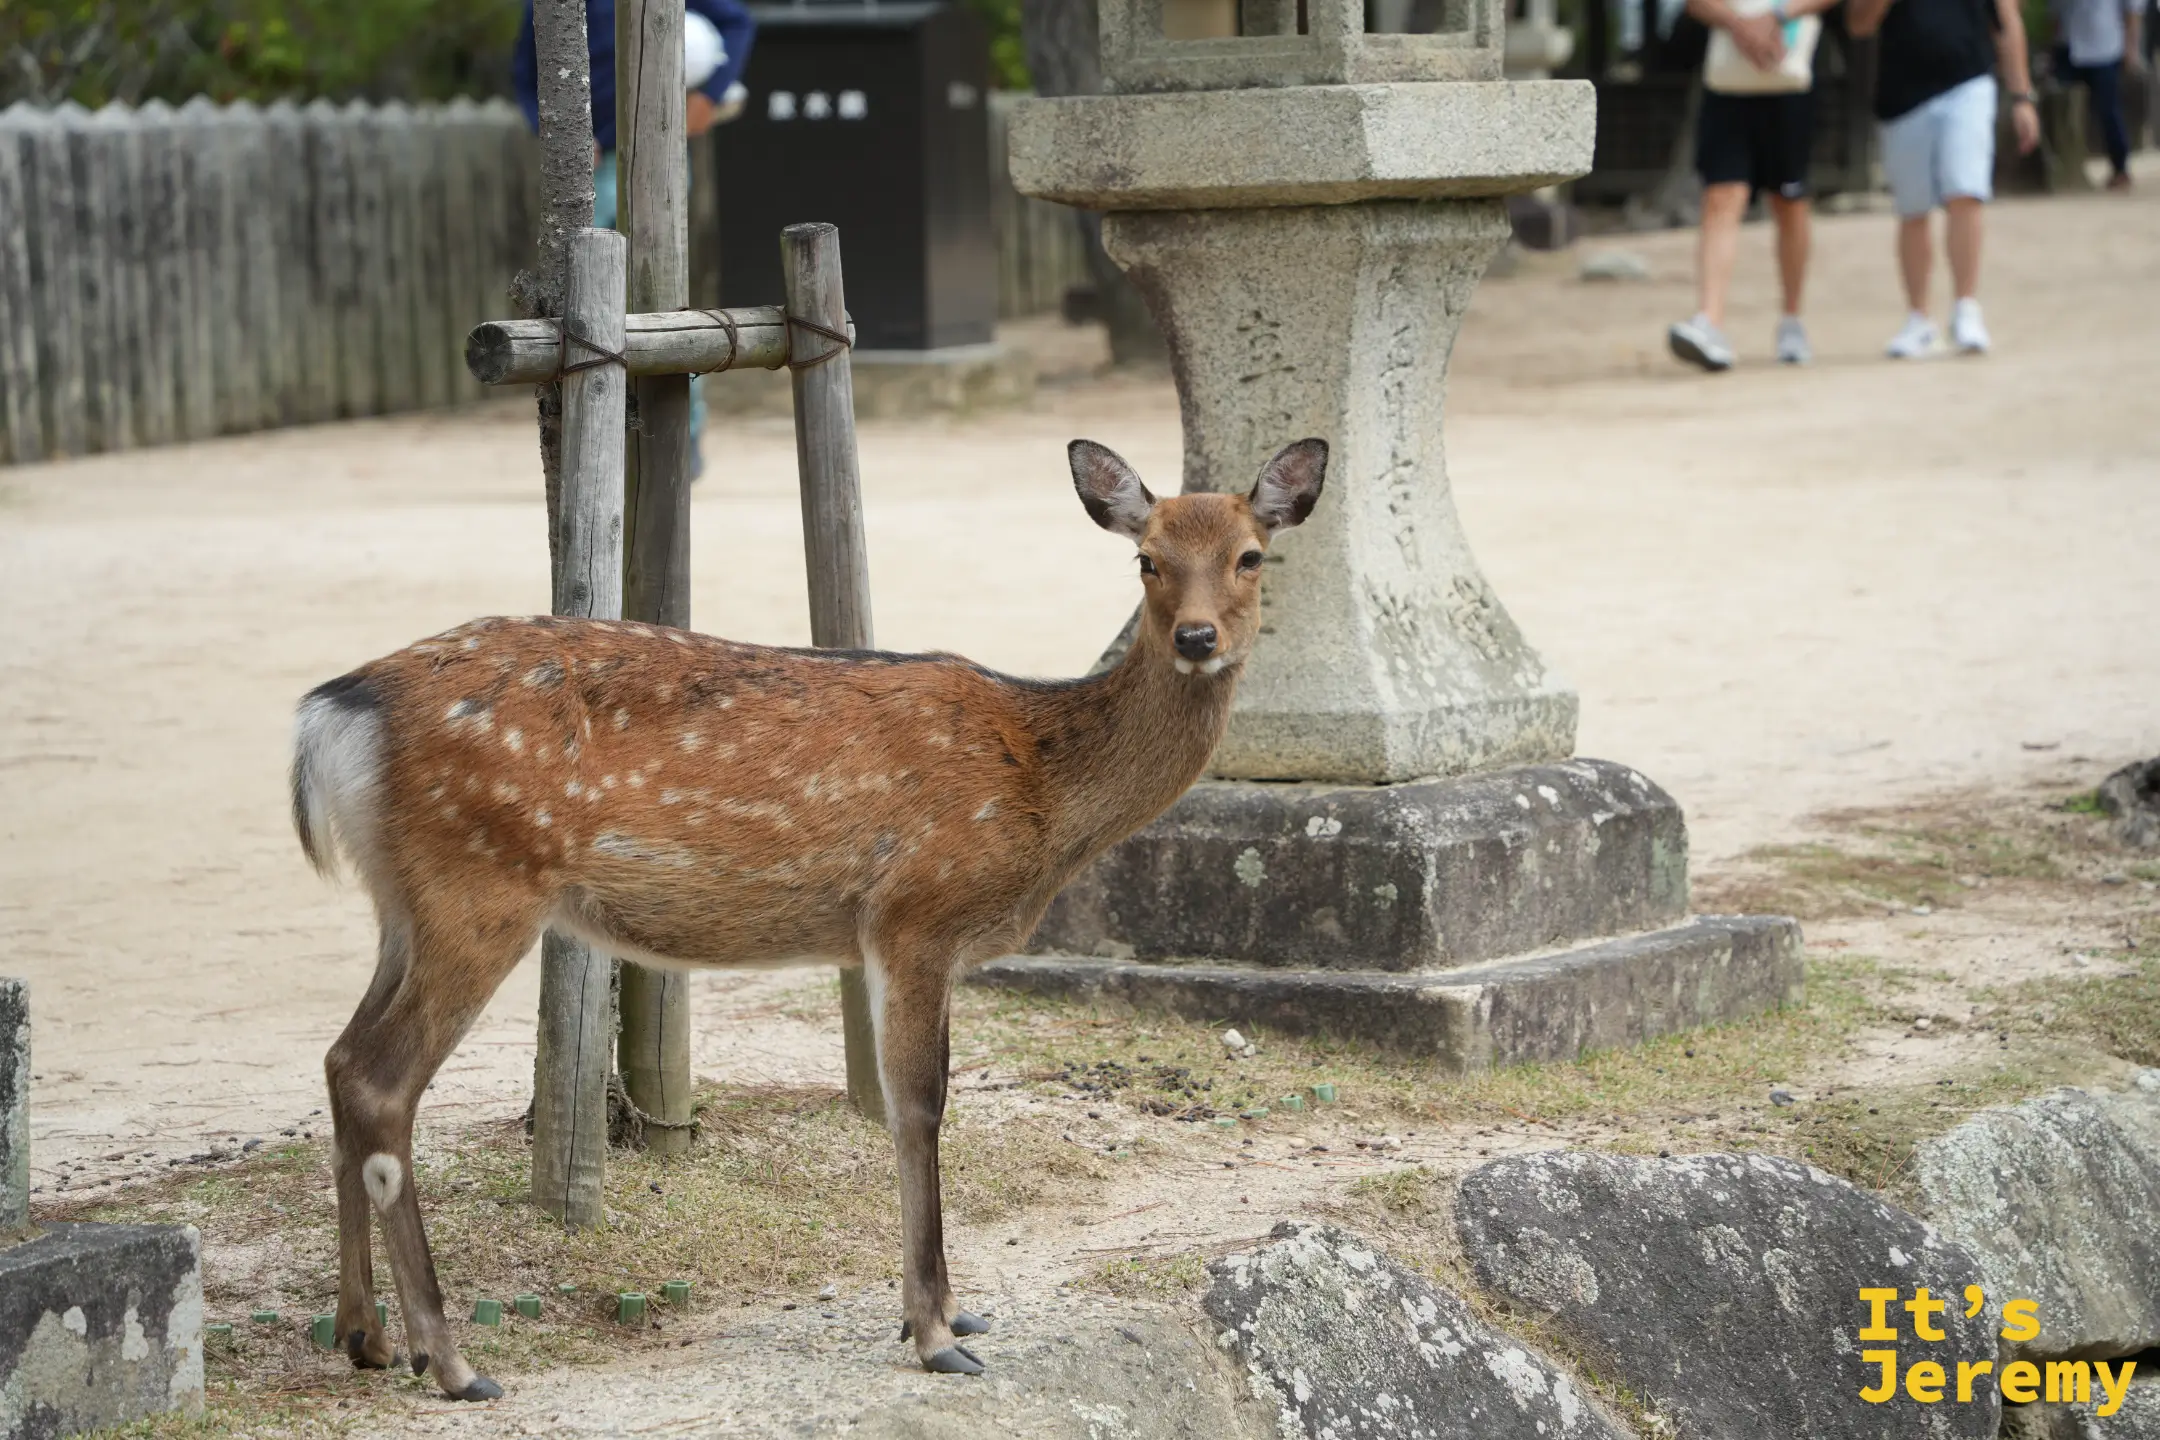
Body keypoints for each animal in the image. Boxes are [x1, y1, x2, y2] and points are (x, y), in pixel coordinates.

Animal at [289, 436, 1327, 1400]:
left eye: (1250, 555)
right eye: (1146, 558)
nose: (1197, 637)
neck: (1041, 788)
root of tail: (333, 716)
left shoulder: (889, 937)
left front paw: (951, 1312)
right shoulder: (915, 911)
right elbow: (919, 1105)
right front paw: (936, 1332)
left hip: (406, 903)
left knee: (340, 1060)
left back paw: (364, 1337)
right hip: (481, 882)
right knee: (382, 1082)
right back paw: (451, 1360)